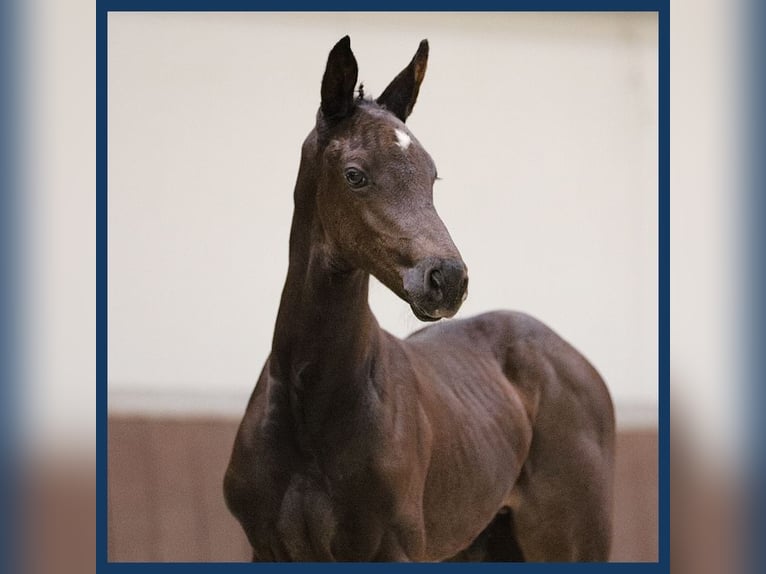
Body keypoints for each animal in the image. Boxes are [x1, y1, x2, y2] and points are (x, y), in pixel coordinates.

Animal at [224, 35, 616, 564]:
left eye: (432, 177)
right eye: (355, 175)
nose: (447, 279)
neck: (311, 405)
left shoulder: (391, 549)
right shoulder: (268, 549)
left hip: (571, 540)